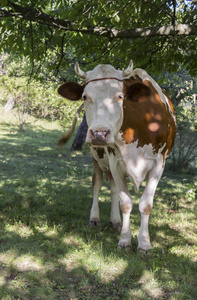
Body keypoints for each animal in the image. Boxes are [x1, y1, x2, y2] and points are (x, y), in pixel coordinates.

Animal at [57, 59, 176, 252]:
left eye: (120, 96)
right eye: (85, 96)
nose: (99, 133)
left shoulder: (159, 164)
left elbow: (145, 205)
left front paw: (144, 244)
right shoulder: (115, 162)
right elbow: (126, 203)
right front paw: (125, 241)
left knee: (113, 189)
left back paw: (116, 221)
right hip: (97, 158)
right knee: (97, 185)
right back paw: (95, 218)